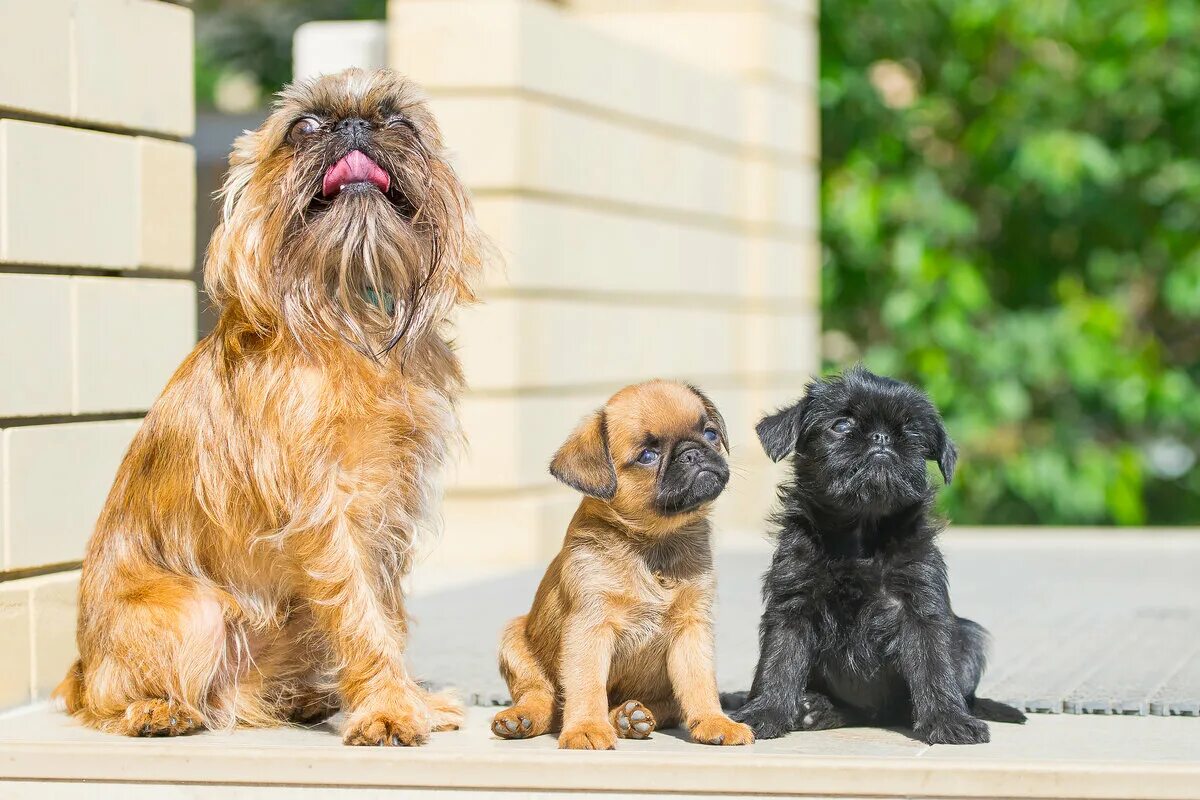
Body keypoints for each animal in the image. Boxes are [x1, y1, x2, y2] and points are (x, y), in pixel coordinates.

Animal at [51, 71, 482, 748]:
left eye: (399, 122)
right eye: (303, 127)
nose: (355, 126)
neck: (348, 314)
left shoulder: (387, 513)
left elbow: (385, 611)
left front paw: (410, 699)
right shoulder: (322, 510)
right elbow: (360, 611)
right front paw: (388, 709)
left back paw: (301, 699)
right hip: (196, 613)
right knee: (103, 698)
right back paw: (156, 712)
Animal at [487, 381, 748, 753]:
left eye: (710, 433)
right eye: (647, 457)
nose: (693, 453)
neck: (653, 545)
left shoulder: (691, 627)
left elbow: (699, 682)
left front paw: (715, 721)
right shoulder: (589, 627)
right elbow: (587, 684)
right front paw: (585, 728)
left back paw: (629, 717)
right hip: (515, 639)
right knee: (544, 698)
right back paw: (521, 719)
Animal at [724, 369, 1027, 743]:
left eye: (912, 431)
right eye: (841, 425)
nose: (882, 437)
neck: (861, 532)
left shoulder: (920, 604)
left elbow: (934, 665)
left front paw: (948, 720)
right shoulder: (793, 603)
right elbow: (779, 661)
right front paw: (764, 711)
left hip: (969, 638)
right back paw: (811, 707)